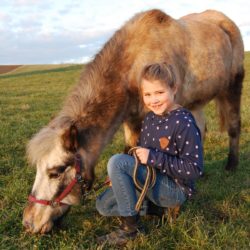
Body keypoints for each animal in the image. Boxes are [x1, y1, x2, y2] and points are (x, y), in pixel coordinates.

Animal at [22, 8, 244, 233]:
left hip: (233, 87)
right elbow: (128, 154)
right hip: (195, 103)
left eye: (56, 172)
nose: (29, 222)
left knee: (233, 127)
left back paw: (231, 165)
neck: (133, 66)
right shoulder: (130, 121)